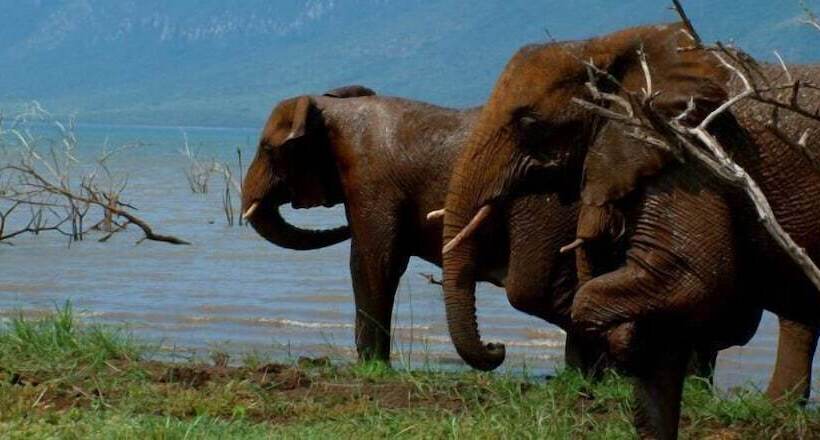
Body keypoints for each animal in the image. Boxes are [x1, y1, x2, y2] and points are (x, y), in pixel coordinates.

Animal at [239, 85, 608, 373]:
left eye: (267, 149)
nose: (498, 346)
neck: (331, 107)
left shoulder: (372, 183)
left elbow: (373, 263)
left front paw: (372, 368)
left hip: (548, 208)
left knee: (534, 289)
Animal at [437, 23, 820, 439]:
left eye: (529, 123)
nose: (497, 347)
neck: (607, 46)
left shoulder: (687, 155)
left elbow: (687, 279)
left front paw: (626, 339)